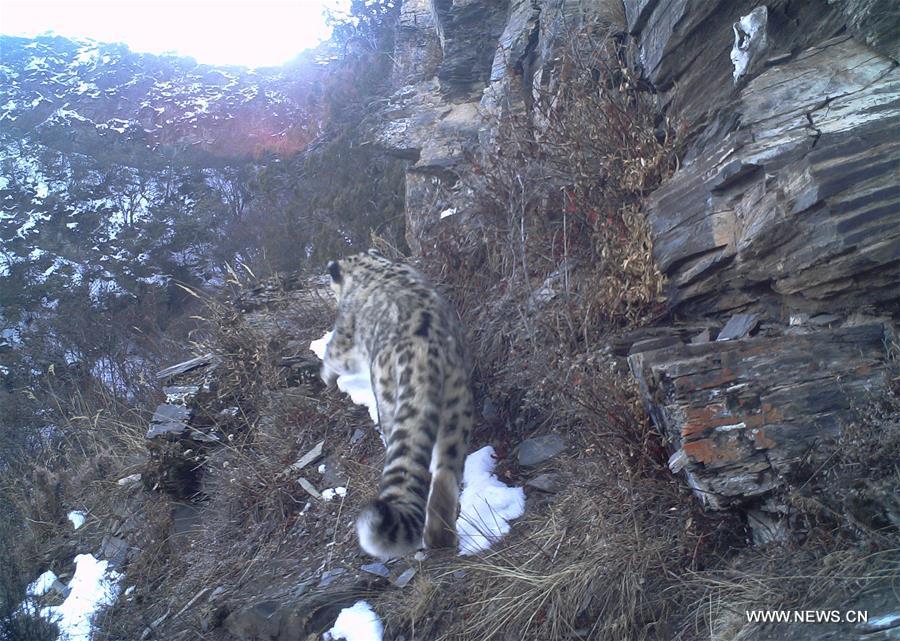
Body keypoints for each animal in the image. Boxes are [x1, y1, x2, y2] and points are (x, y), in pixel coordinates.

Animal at [324, 248, 478, 556]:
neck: (370, 265)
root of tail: (423, 357)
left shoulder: (344, 337)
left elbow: (331, 354)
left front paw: (325, 374)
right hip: (457, 406)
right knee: (445, 472)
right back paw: (440, 539)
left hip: (388, 401)